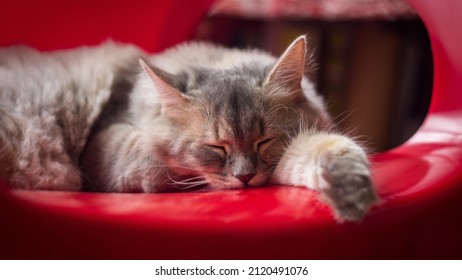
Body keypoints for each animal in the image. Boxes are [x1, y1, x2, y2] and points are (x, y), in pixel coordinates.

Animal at [0, 35, 376, 221]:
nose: (245, 178)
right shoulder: (106, 148)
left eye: (263, 141)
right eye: (216, 147)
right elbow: (163, 163)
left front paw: (349, 190)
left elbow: (325, 149)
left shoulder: (288, 151)